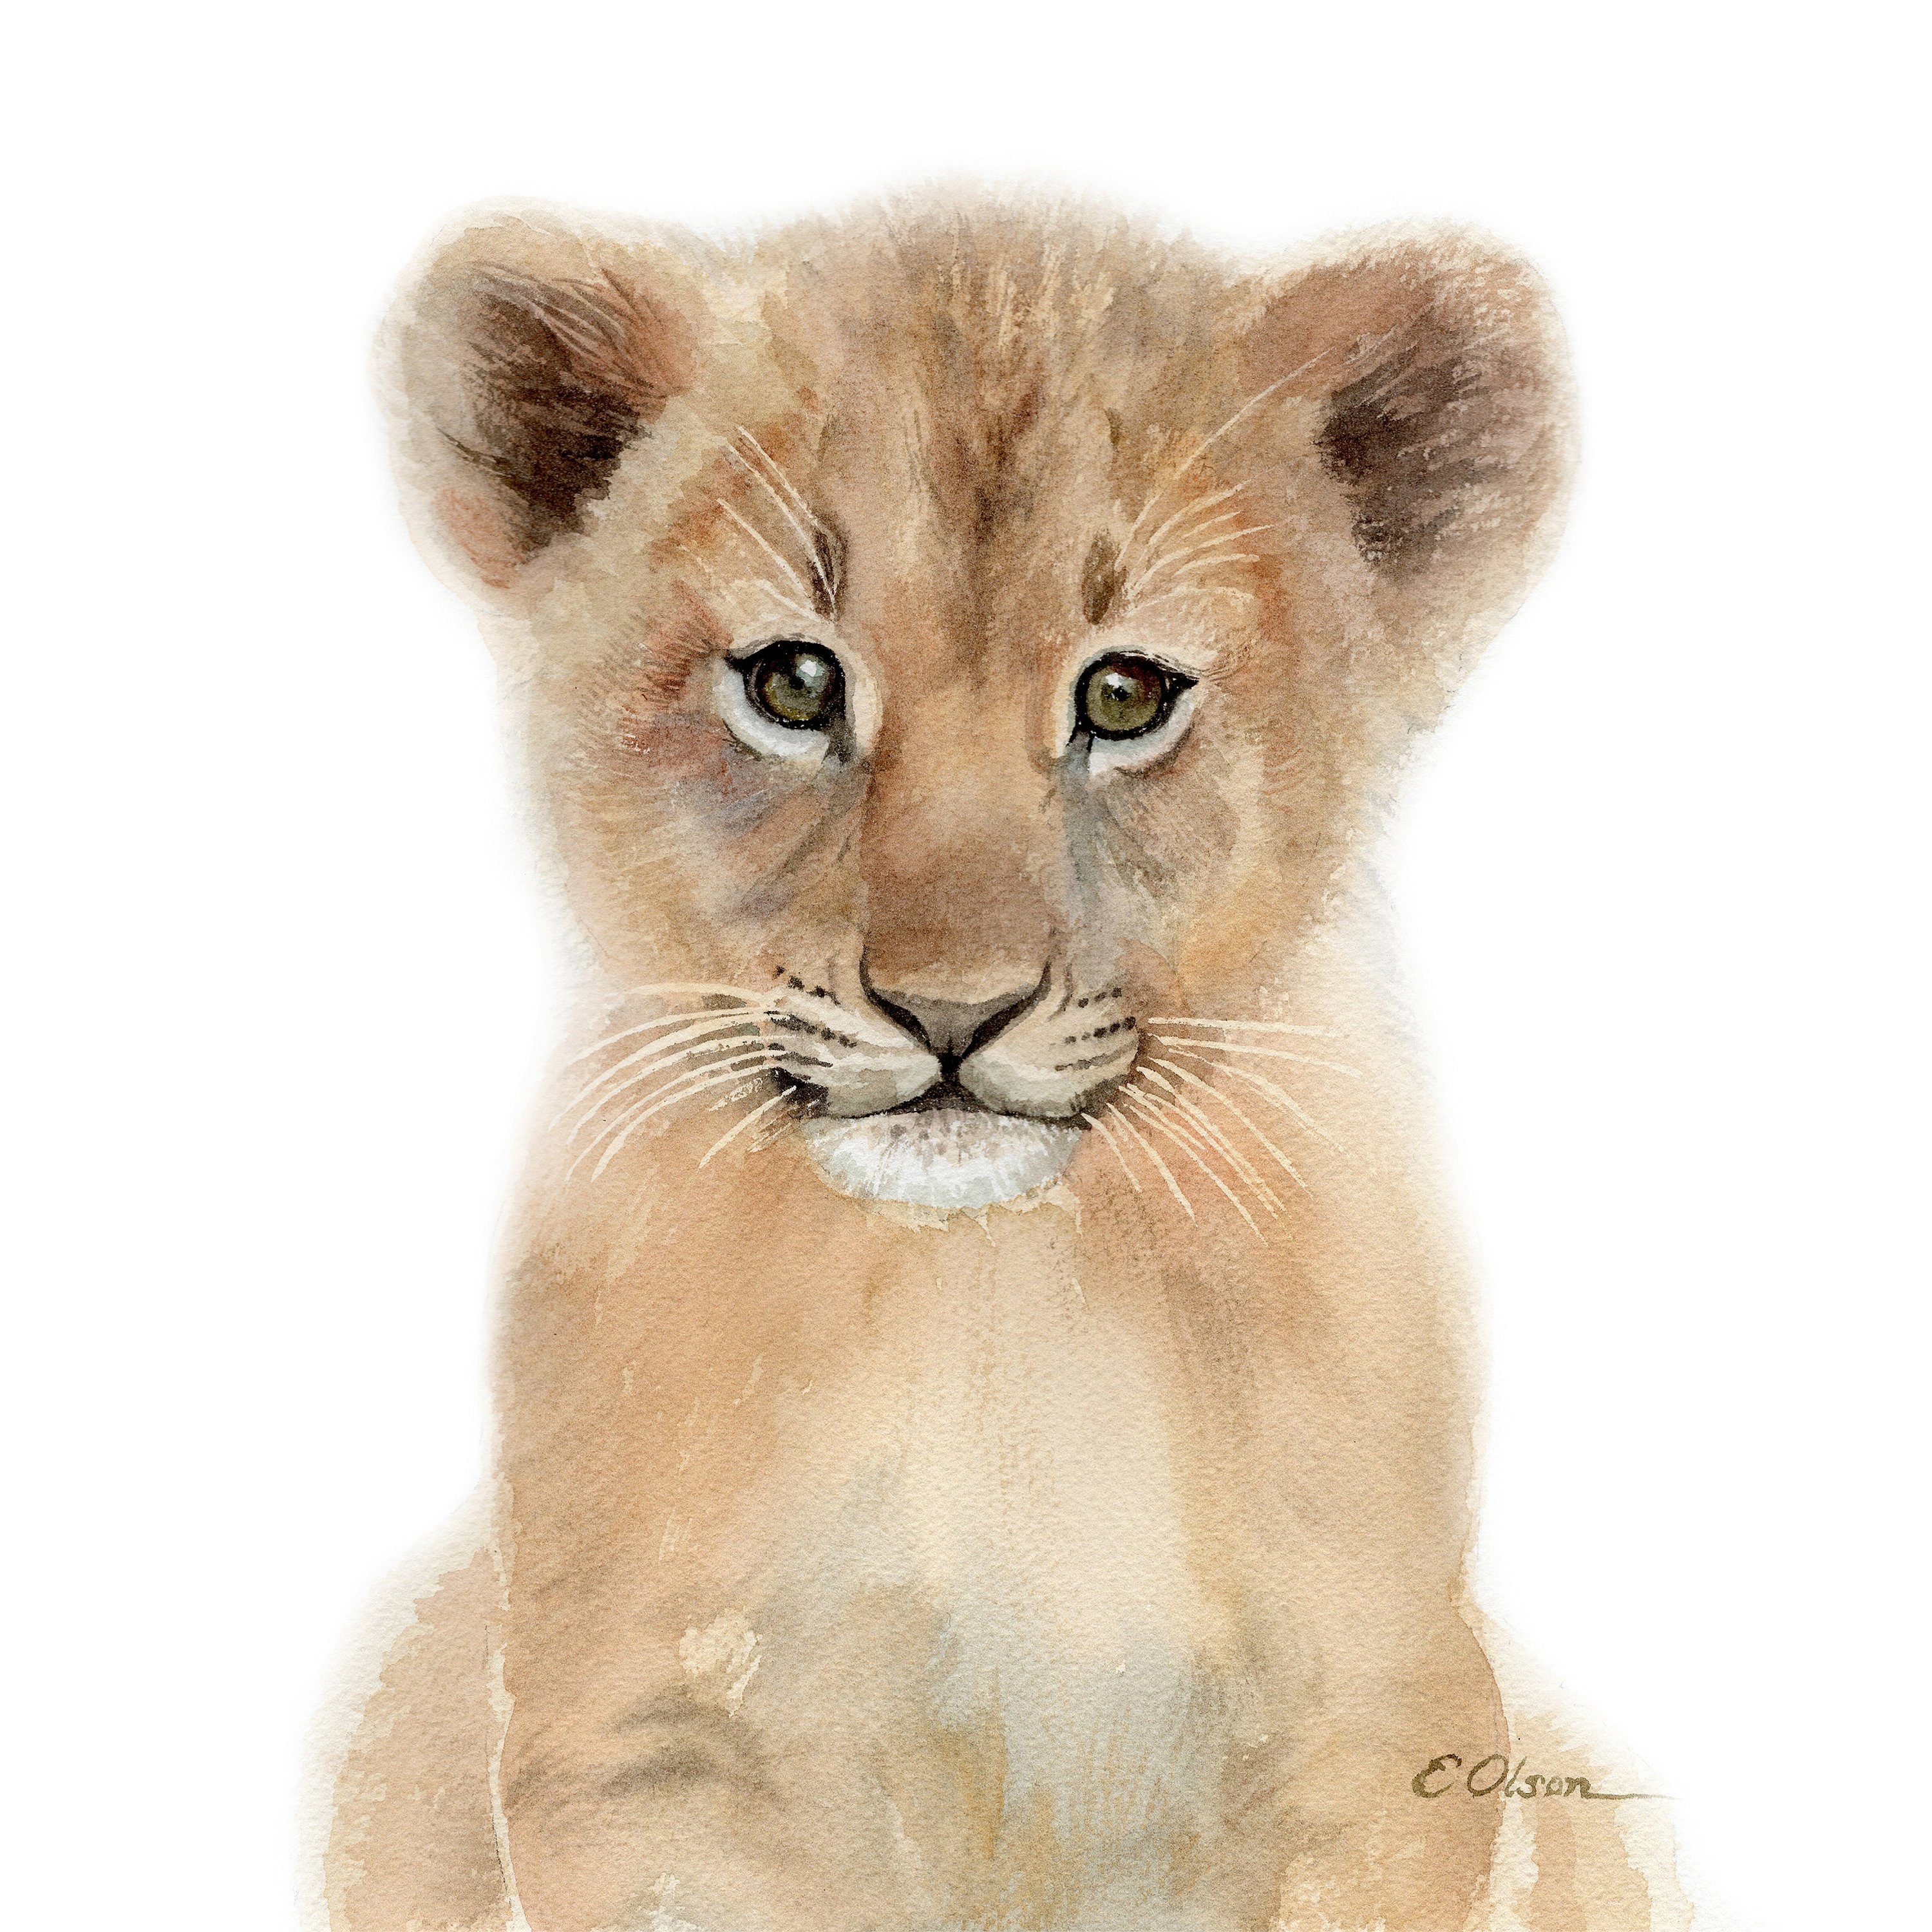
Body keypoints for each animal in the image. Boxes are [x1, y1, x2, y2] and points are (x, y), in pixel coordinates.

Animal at [305, 193, 1697, 1932]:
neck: (990, 1300)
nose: (950, 1015)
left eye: (1123, 693)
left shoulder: (1373, 1734)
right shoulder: (642, 1746)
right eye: (791, 684)